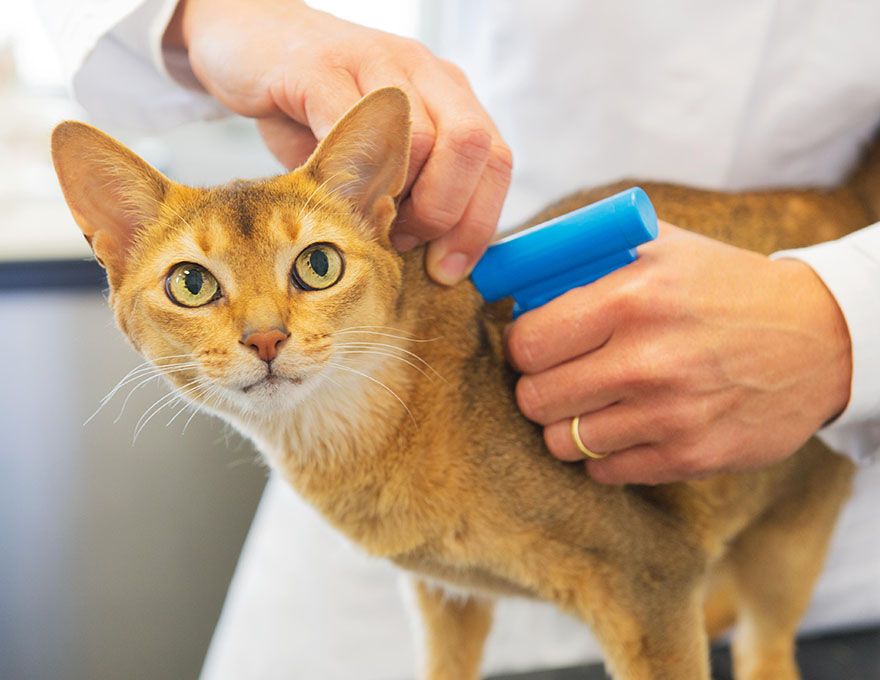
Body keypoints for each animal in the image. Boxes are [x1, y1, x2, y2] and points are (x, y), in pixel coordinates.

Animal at [51, 89, 876, 680]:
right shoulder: (446, 596)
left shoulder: (652, 580)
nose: (265, 339)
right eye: (191, 283)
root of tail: (836, 197)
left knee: (770, 646)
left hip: (793, 526)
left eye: (318, 265)